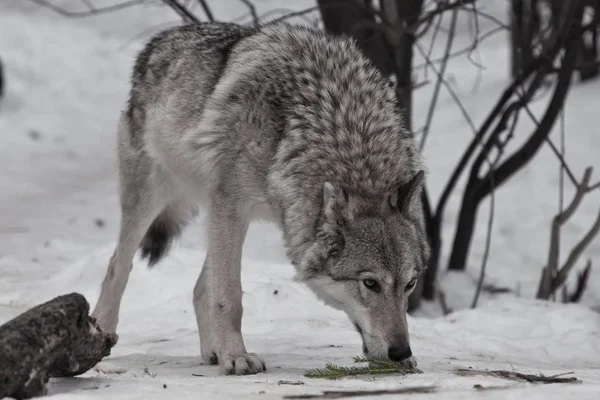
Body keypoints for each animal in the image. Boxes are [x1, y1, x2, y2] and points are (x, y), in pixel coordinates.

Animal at [91, 20, 428, 376]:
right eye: (370, 284)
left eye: (410, 284)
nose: (401, 352)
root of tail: (160, 39)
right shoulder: (231, 205)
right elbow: (230, 299)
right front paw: (237, 357)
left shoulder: (243, 211)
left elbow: (218, 292)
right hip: (153, 198)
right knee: (118, 266)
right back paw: (100, 335)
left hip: (218, 214)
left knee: (199, 289)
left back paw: (212, 351)